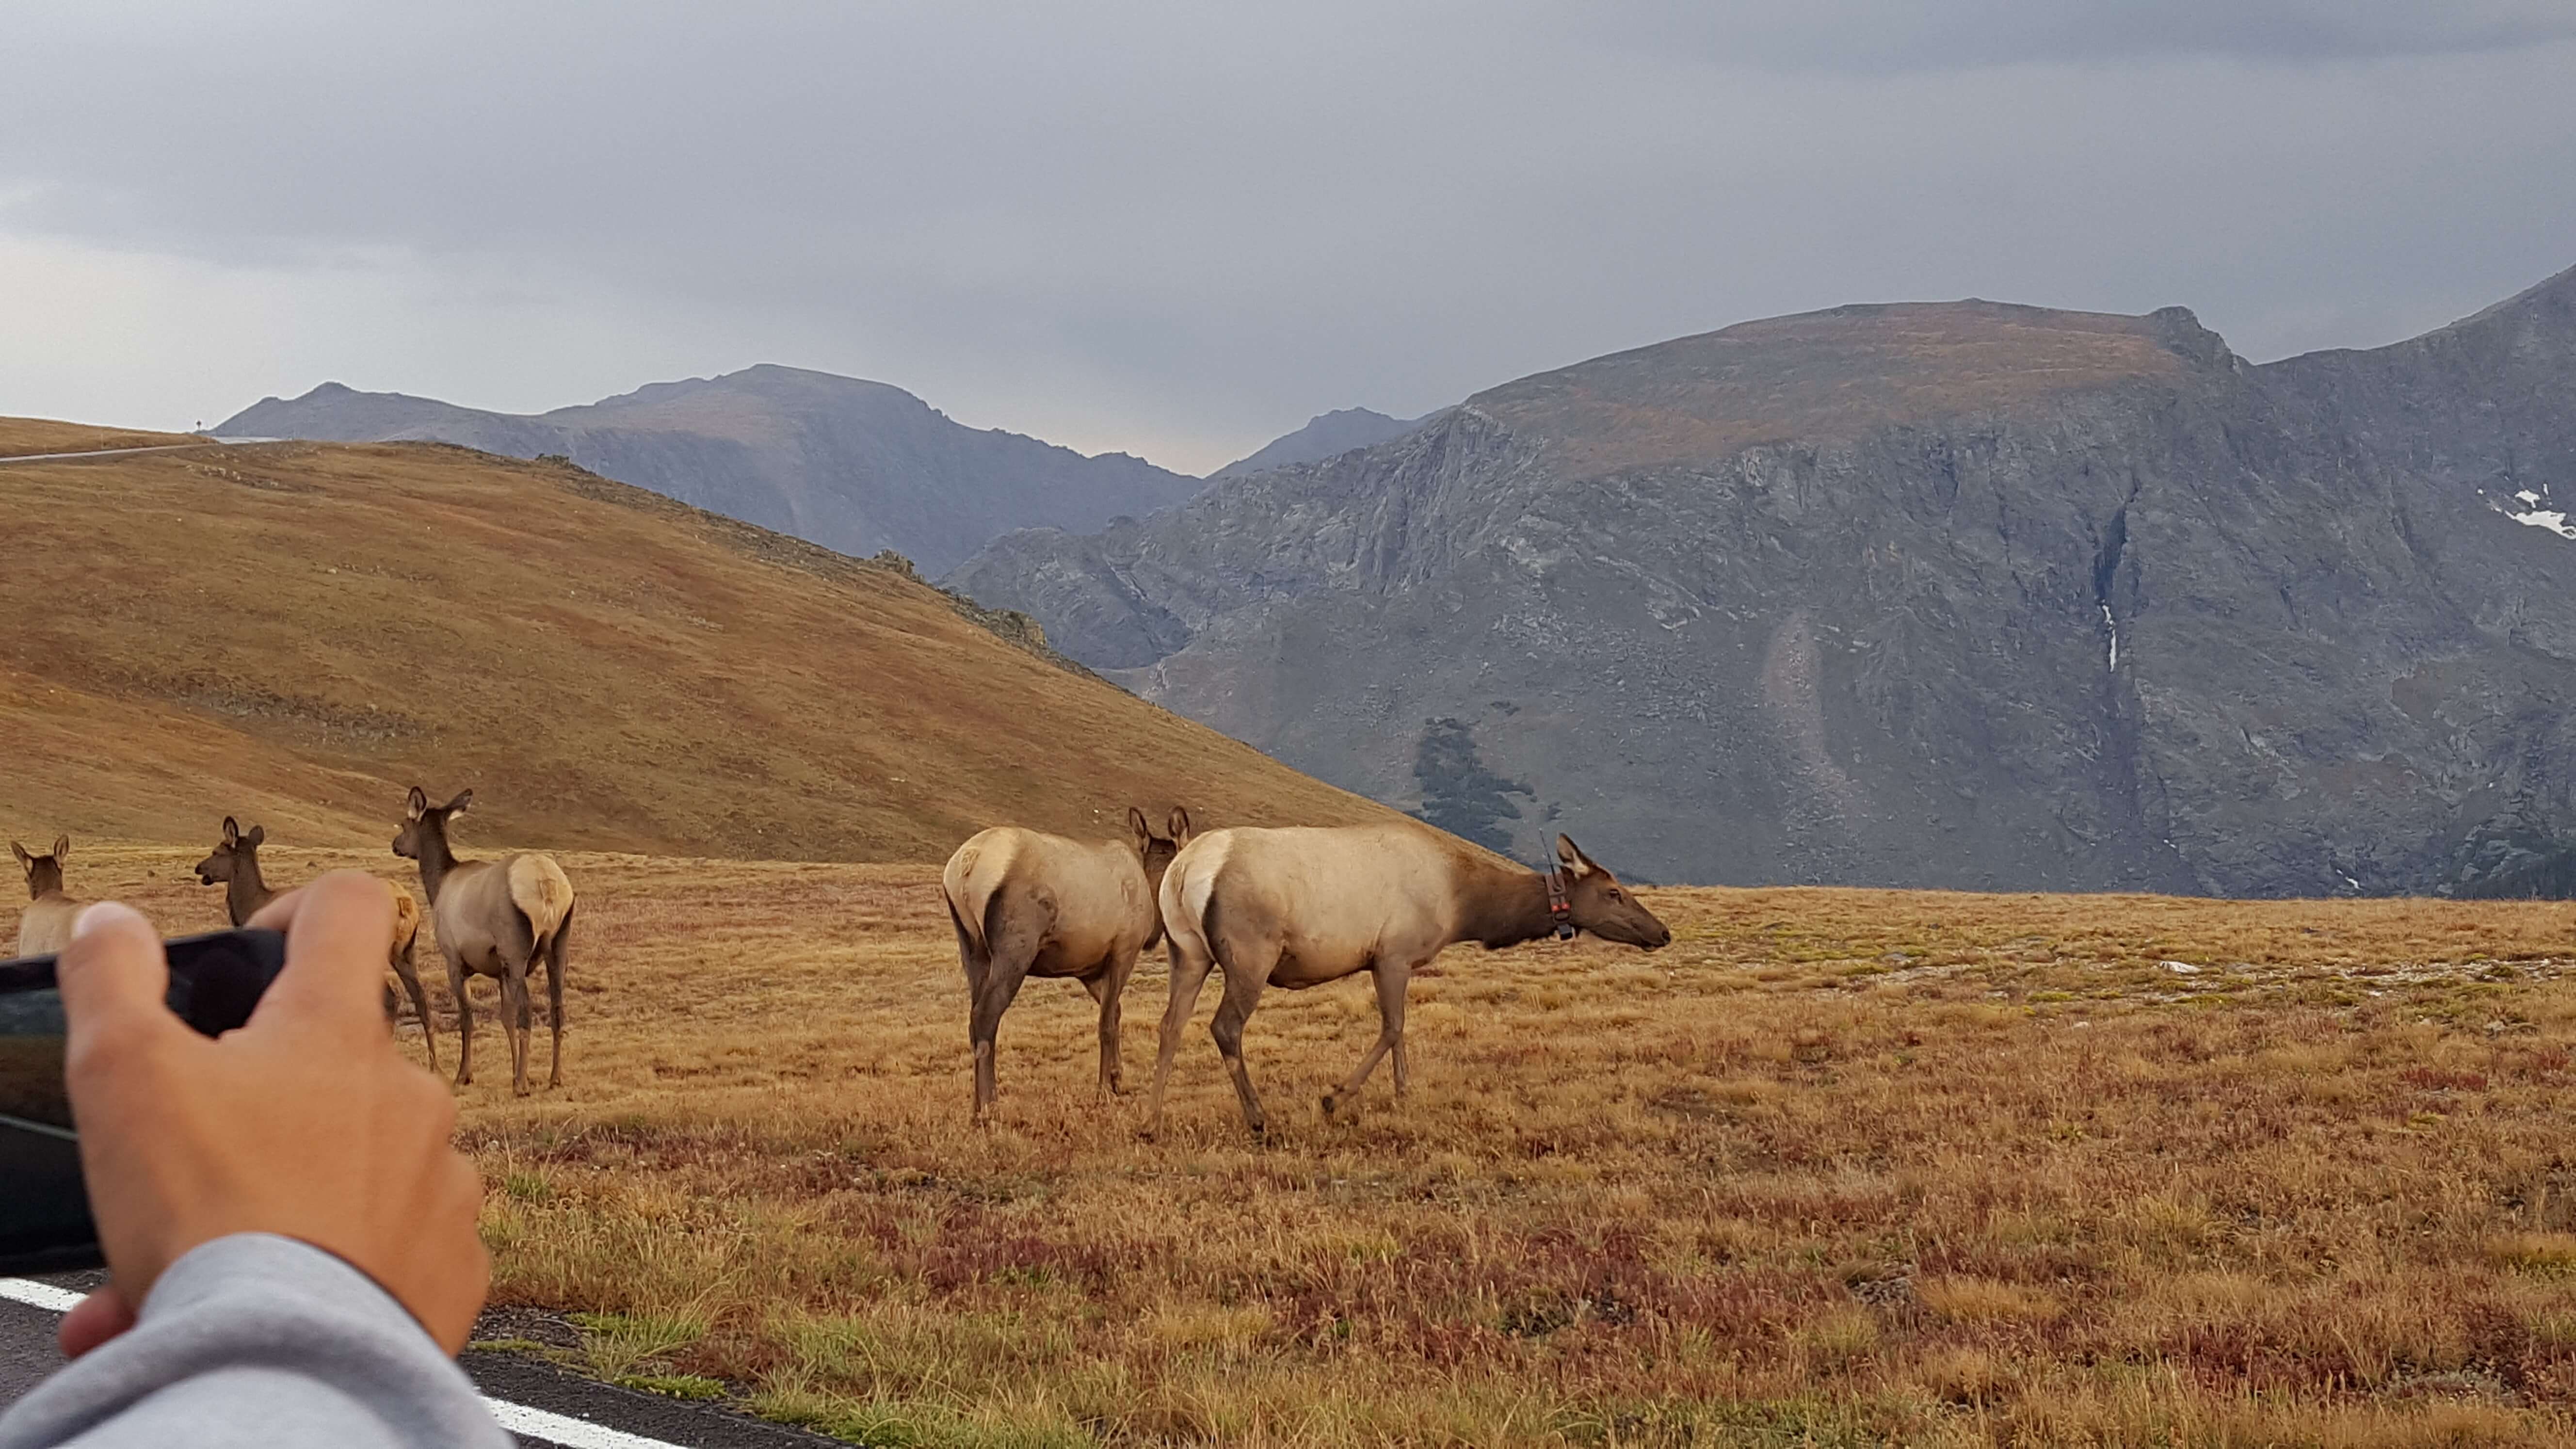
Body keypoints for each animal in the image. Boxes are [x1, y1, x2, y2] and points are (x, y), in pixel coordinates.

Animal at [195, 816, 436, 1069]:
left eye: (216, 851)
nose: (199, 868)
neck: (250, 907)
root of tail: (404, 903)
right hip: (405, 951)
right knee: (420, 1000)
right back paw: (438, 1066)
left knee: (390, 998)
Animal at [391, 787, 575, 1095]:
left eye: (405, 824)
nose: (395, 845)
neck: (437, 885)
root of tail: (547, 884)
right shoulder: (500, 970)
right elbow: (506, 1018)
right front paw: (515, 1071)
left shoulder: (454, 960)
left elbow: (467, 1018)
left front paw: (464, 1075)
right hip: (558, 944)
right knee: (557, 1009)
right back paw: (554, 1077)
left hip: (516, 949)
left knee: (527, 1011)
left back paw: (522, 1085)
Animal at [942, 806, 1193, 1121]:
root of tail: (967, 865)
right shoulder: (1124, 949)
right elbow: (1106, 1022)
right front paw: (1104, 1090)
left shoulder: (1087, 968)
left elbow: (1115, 1012)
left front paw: (1116, 1078)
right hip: (1015, 947)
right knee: (985, 1016)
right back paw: (989, 1107)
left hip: (972, 947)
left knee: (973, 1018)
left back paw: (975, 1106)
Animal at [1146, 824, 1671, 1136]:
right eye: (1613, 892)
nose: (1662, 932)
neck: (1463, 907)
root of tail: (1182, 871)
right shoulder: (1392, 953)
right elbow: (1393, 1027)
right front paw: (1334, 1097)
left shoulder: (1395, 961)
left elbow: (1400, 1030)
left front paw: (1403, 1094)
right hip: (1251, 952)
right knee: (1225, 1027)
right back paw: (1258, 1118)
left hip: (1186, 951)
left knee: (1170, 1025)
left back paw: (1150, 1120)